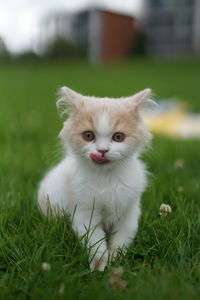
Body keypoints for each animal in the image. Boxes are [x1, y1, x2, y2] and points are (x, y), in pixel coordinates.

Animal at [37, 86, 153, 272]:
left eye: (118, 137)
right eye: (88, 136)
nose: (102, 150)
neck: (107, 178)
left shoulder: (129, 212)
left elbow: (121, 240)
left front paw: (116, 260)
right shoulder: (84, 213)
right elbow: (95, 242)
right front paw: (99, 266)